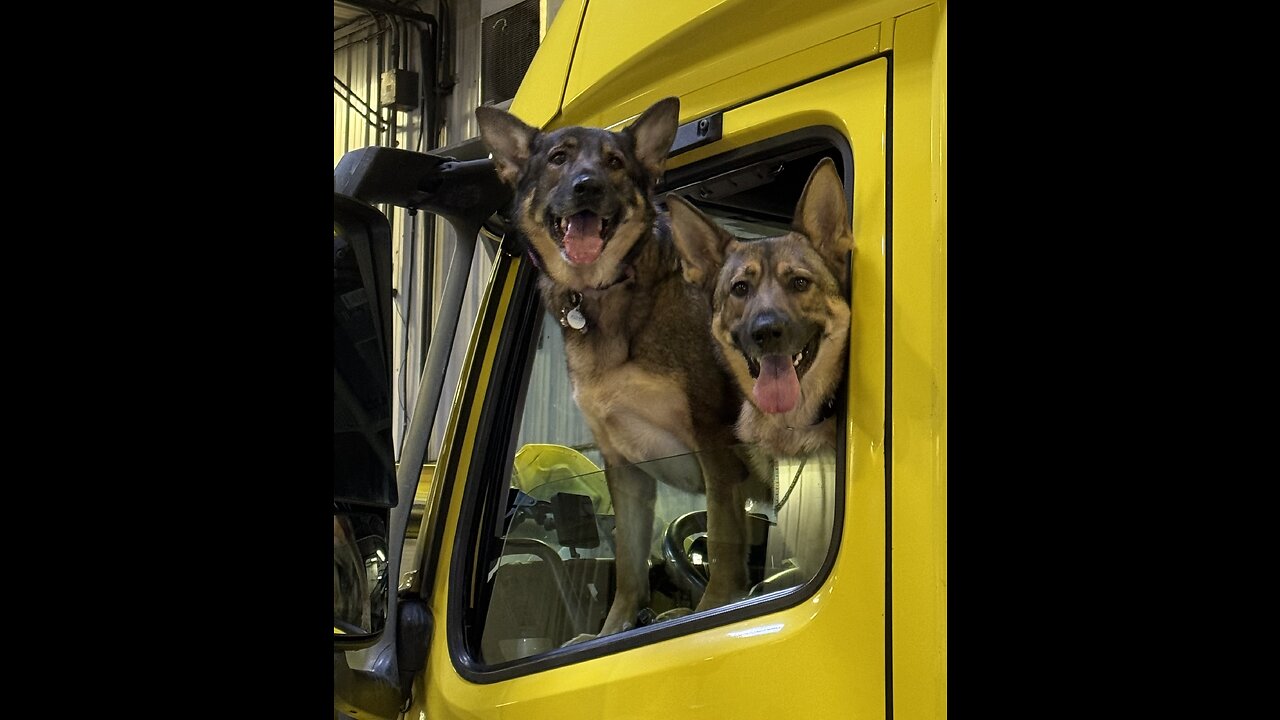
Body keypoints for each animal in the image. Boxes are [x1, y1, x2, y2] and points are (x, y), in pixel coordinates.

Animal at [481, 98, 757, 635]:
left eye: (614, 163)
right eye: (559, 158)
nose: (587, 186)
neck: (606, 292)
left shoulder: (715, 441)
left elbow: (723, 539)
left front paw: (717, 606)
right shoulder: (625, 465)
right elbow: (629, 565)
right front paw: (614, 629)